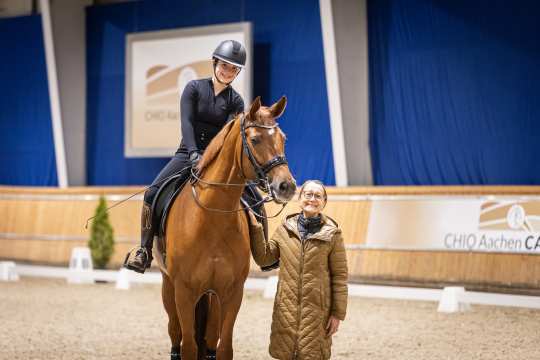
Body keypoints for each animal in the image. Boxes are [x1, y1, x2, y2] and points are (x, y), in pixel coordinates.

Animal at [158, 96, 298, 360]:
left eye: (284, 138)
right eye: (255, 139)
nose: (286, 186)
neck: (213, 215)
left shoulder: (232, 292)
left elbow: (224, 348)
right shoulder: (184, 291)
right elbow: (189, 346)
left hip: (212, 295)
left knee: (210, 337)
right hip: (169, 286)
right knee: (175, 334)